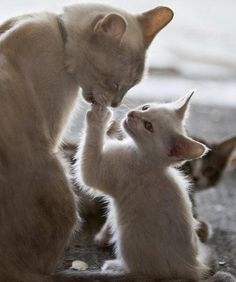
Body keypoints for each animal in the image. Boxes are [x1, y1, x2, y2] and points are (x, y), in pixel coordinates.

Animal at [76, 92, 211, 280]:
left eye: (148, 126)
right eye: (146, 107)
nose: (133, 114)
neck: (145, 157)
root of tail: (190, 270)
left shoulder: (106, 171)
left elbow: (89, 164)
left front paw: (100, 115)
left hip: (127, 236)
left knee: (139, 272)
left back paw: (115, 267)